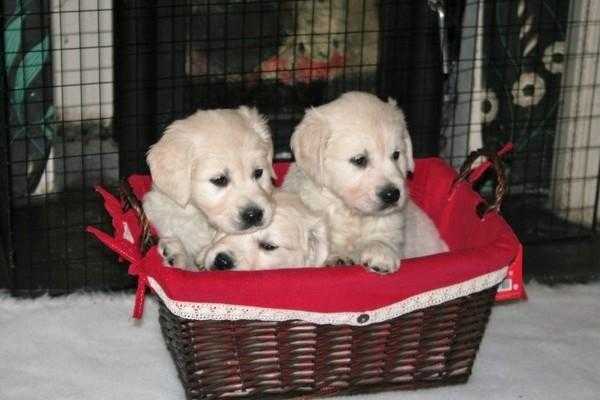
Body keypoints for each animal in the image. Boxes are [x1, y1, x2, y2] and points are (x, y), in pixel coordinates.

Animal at [284, 90, 448, 276]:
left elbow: (383, 234)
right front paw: (338, 257)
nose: (392, 194)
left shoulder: (392, 221)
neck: (351, 212)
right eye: (359, 160)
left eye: (396, 155)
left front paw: (381, 253)